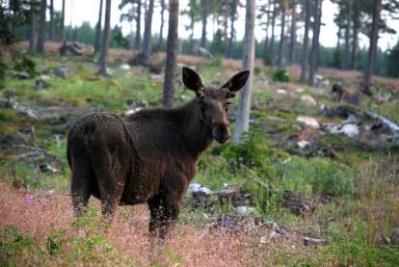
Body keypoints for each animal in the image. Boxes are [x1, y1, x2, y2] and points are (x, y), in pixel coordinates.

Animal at [67, 67, 252, 241]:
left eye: (227, 104)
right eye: (202, 103)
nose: (222, 131)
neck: (192, 146)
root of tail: (85, 131)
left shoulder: (155, 198)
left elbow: (152, 235)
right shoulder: (173, 191)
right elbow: (163, 238)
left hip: (79, 178)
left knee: (78, 218)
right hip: (112, 182)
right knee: (103, 222)